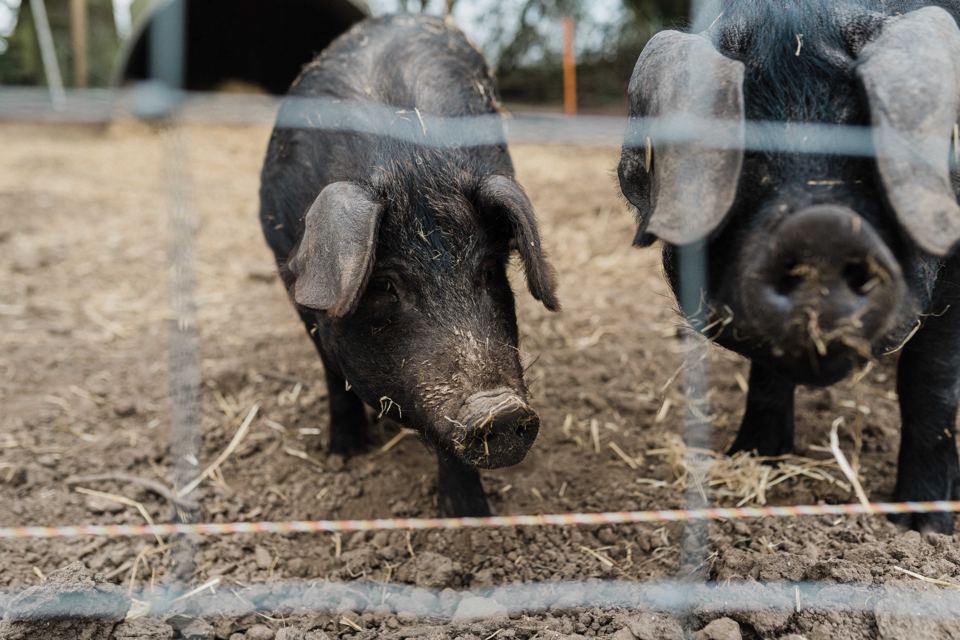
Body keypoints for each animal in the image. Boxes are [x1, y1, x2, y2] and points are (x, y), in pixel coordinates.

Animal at [259, 15, 559, 516]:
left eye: (488, 272)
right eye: (385, 286)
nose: (500, 410)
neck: (409, 163)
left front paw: (469, 514)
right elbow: (331, 369)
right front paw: (343, 455)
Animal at [619, 0, 960, 532]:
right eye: (745, 154)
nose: (821, 229)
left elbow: (930, 382)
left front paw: (920, 528)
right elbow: (765, 374)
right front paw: (753, 457)